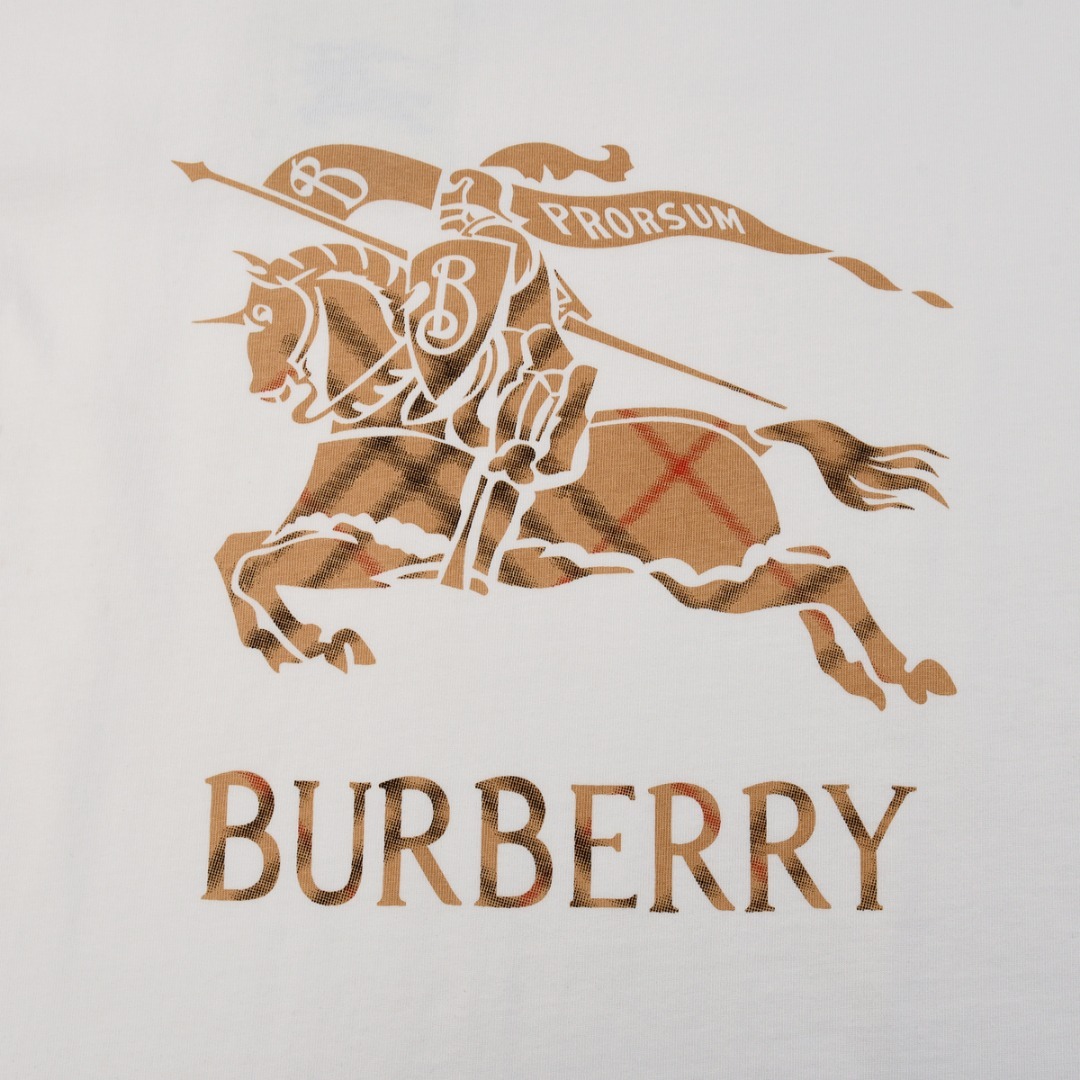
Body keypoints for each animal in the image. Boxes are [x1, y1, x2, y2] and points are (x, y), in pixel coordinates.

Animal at [202, 243, 955, 709]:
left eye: (265, 314)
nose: (263, 388)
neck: (394, 420)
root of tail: (751, 437)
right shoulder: (322, 535)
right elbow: (233, 552)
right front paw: (293, 646)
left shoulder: (374, 552)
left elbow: (251, 567)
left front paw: (315, 642)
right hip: (726, 572)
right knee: (814, 580)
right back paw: (858, 678)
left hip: (707, 577)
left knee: (828, 577)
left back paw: (904, 675)